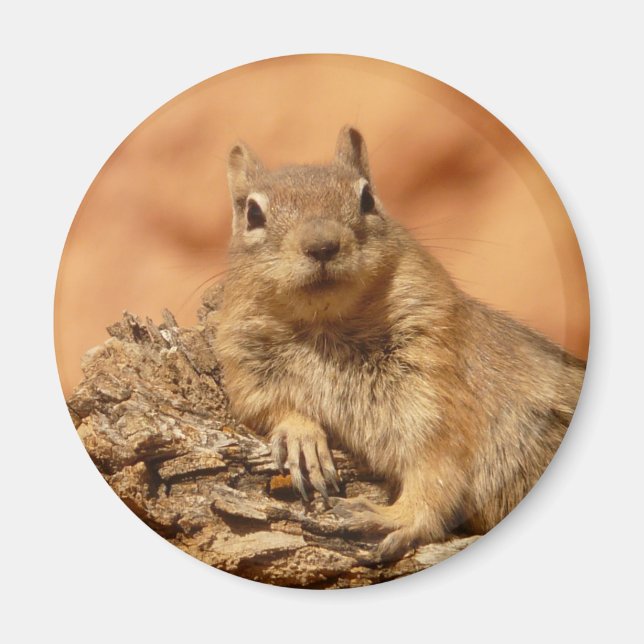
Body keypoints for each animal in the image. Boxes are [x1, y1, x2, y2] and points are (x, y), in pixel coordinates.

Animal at [213, 126, 586, 561]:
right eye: (253, 213)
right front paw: (300, 436)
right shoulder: (247, 366)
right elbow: (265, 406)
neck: (326, 328)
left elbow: (437, 471)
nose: (322, 245)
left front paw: (394, 517)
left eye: (367, 198)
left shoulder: (436, 389)